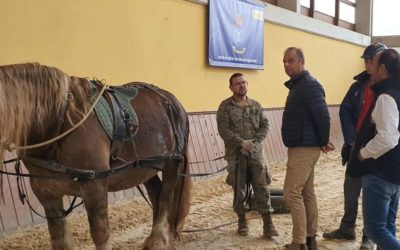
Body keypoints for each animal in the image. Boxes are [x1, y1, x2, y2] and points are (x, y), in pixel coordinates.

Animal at [0, 63, 192, 250]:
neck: (59, 123)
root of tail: (172, 101)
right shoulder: (46, 192)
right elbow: (60, 240)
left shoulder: (94, 185)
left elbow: (100, 234)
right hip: (145, 167)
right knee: (156, 194)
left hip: (173, 162)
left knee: (166, 197)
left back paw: (158, 241)